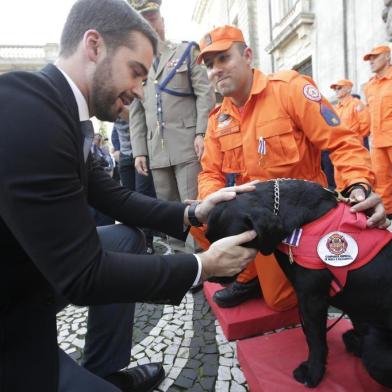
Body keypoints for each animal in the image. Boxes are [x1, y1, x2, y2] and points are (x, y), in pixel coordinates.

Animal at [205, 181, 392, 388]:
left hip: (376, 353)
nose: (211, 277)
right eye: (208, 237)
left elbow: (315, 339)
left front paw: (313, 372)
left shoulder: (312, 299)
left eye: (234, 245)